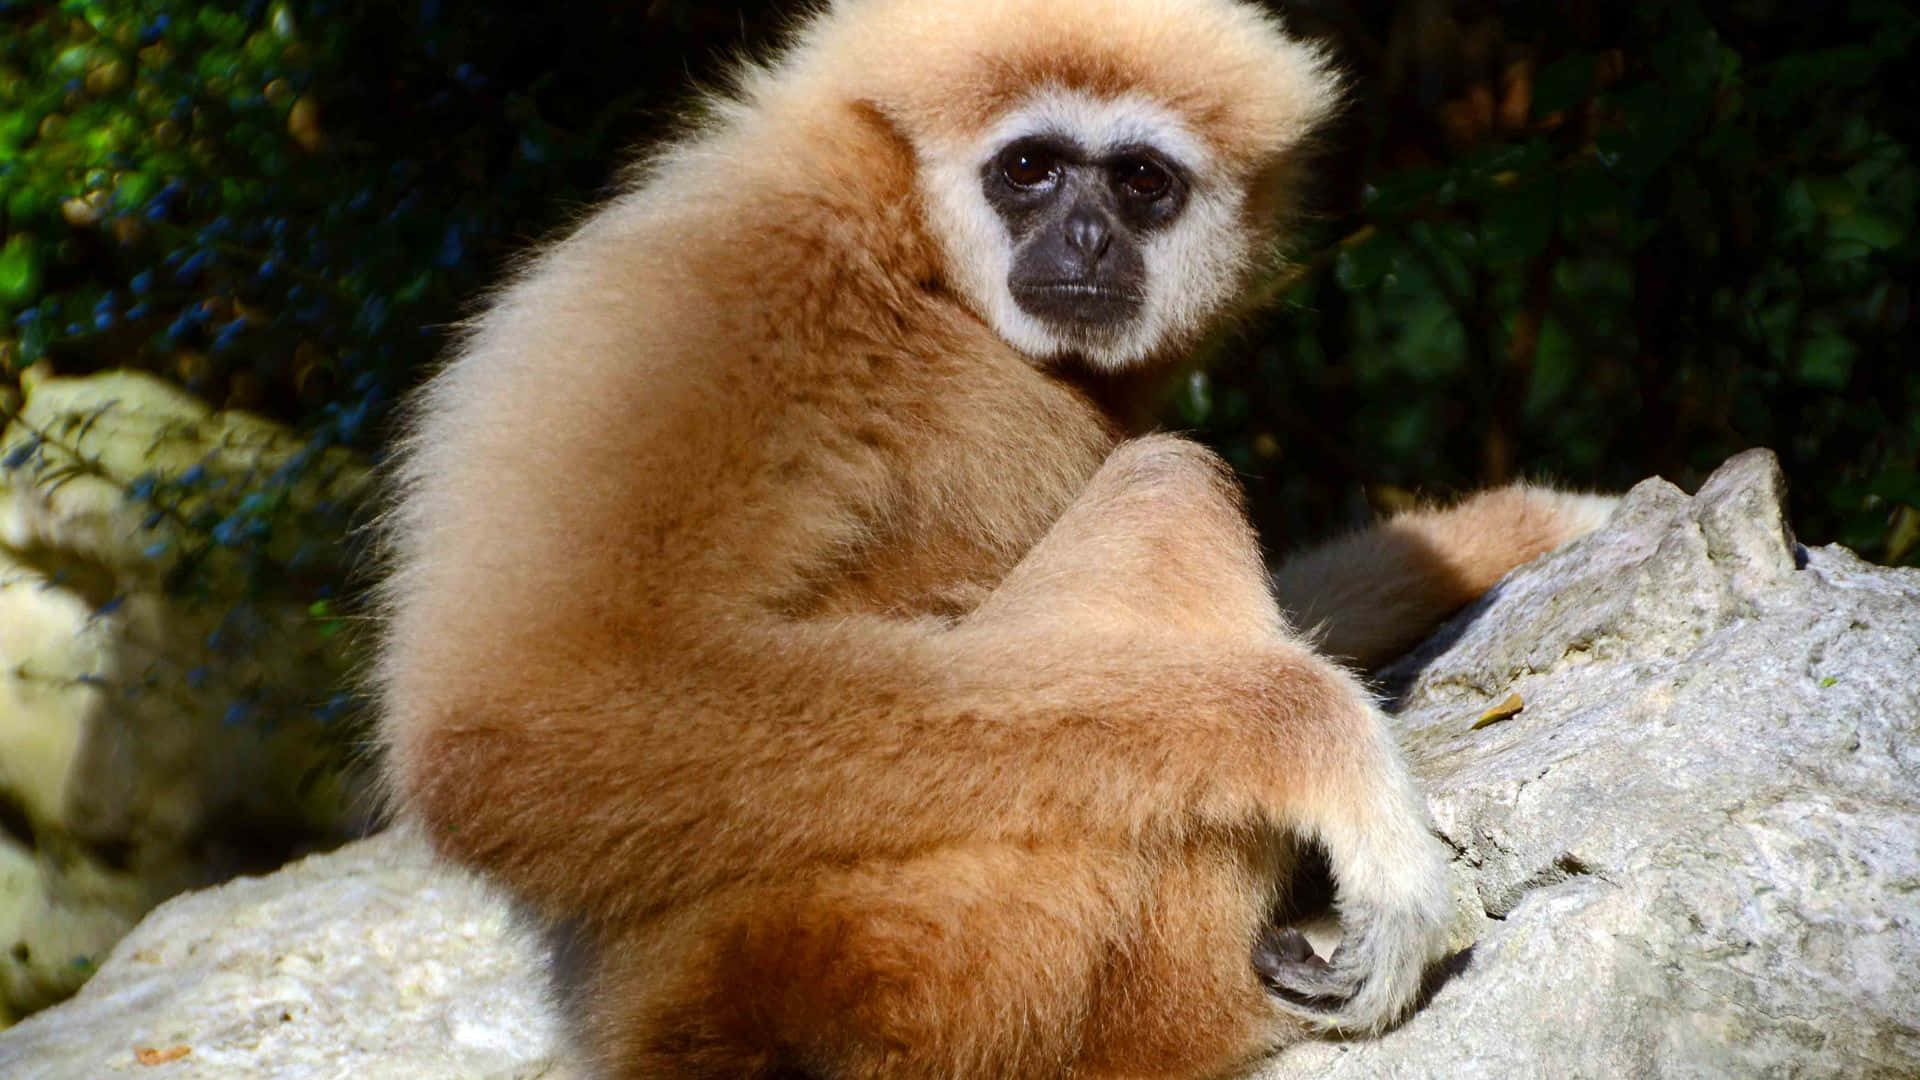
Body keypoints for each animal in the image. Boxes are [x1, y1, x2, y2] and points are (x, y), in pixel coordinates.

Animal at [374, 1, 1614, 1076]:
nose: (1088, 234)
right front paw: (1323, 749)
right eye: (1030, 168)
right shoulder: (696, 308)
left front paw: (1525, 523)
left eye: (1141, 181)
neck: (915, 265)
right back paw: (1207, 1012)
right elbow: (523, 724)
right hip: (926, 952)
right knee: (1170, 485)